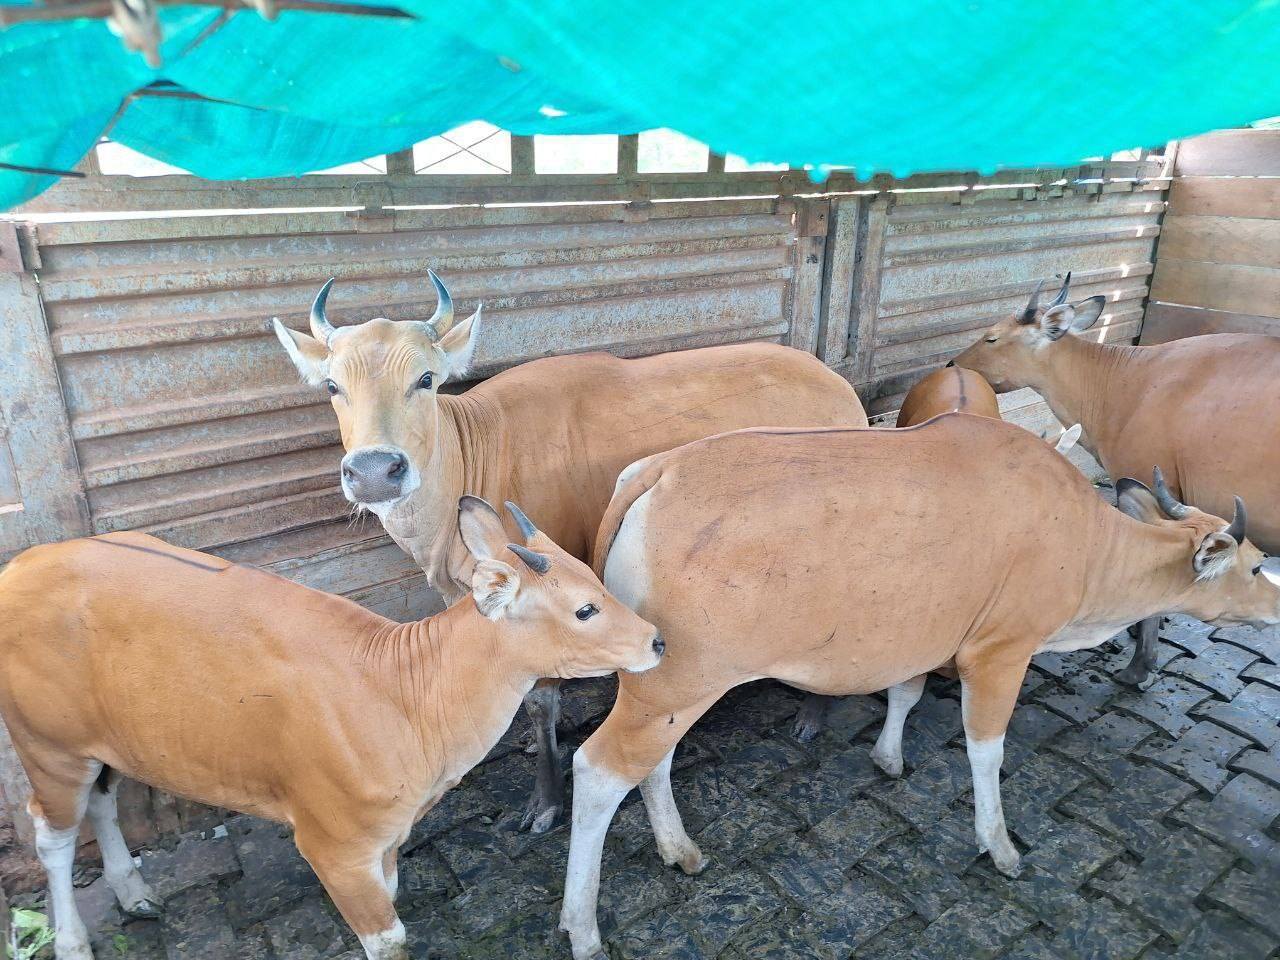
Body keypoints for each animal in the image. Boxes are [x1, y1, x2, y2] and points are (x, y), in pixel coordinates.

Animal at [0, 499, 661, 960]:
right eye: (585, 609)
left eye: (595, 580)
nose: (656, 639)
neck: (404, 693)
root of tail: (19, 568)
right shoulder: (331, 844)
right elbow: (387, 940)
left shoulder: (386, 837)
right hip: (46, 744)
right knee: (52, 833)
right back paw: (73, 942)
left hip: (100, 740)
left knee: (103, 801)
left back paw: (134, 890)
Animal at [271, 273, 868, 829]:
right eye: (332, 384)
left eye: (425, 379)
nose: (375, 472)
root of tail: (837, 382)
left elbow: (543, 701)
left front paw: (547, 799)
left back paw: (815, 711)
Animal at [556, 415, 1280, 960]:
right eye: (1252, 566)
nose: (1275, 603)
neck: (1083, 539)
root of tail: (661, 470)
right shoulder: (1000, 651)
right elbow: (987, 749)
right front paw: (999, 843)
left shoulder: (919, 637)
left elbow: (904, 695)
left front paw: (889, 755)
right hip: (679, 683)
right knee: (599, 771)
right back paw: (583, 926)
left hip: (666, 690)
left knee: (653, 765)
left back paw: (677, 847)